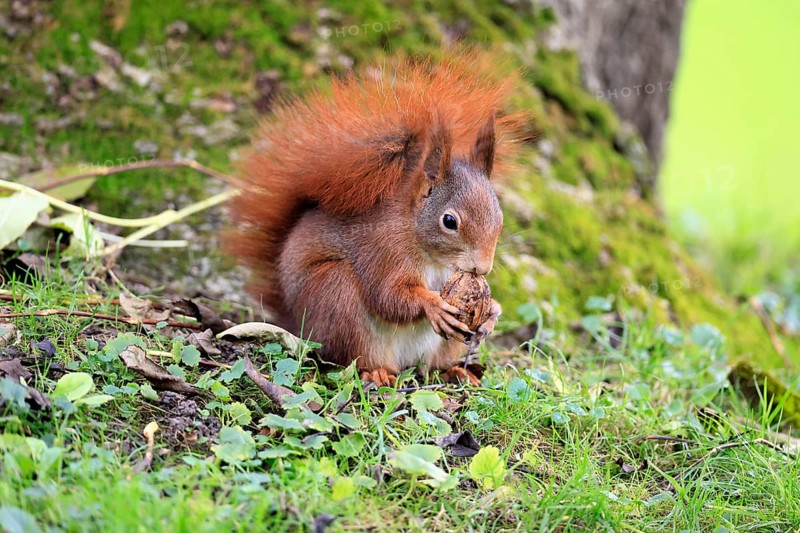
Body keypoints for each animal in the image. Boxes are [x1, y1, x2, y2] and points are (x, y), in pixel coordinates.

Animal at [228, 51, 523, 387]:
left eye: (499, 216)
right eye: (449, 221)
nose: (482, 268)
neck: (430, 252)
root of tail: (296, 322)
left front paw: (493, 312)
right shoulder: (383, 250)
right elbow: (389, 296)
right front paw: (433, 305)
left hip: (446, 345)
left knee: (435, 365)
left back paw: (456, 371)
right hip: (337, 297)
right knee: (354, 358)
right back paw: (378, 372)